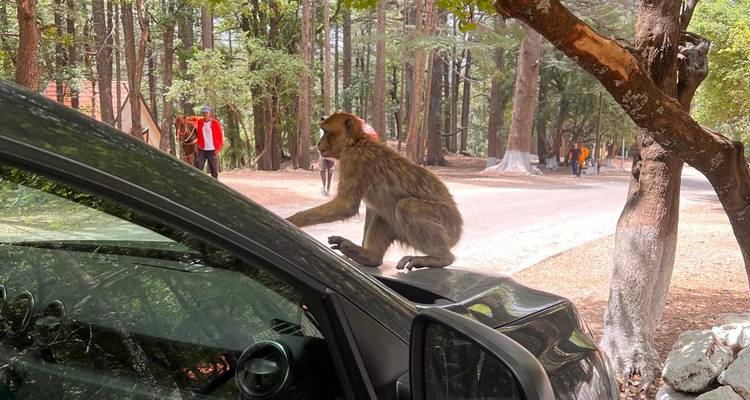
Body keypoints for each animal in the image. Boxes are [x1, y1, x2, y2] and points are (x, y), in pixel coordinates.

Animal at [287, 112, 463, 270]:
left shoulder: (353, 160)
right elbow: (371, 210)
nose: (318, 143)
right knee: (384, 214)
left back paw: (440, 258)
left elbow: (346, 206)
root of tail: (458, 228)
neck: (356, 142)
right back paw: (370, 257)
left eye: (326, 132)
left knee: (406, 206)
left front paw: (293, 221)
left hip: (447, 222)